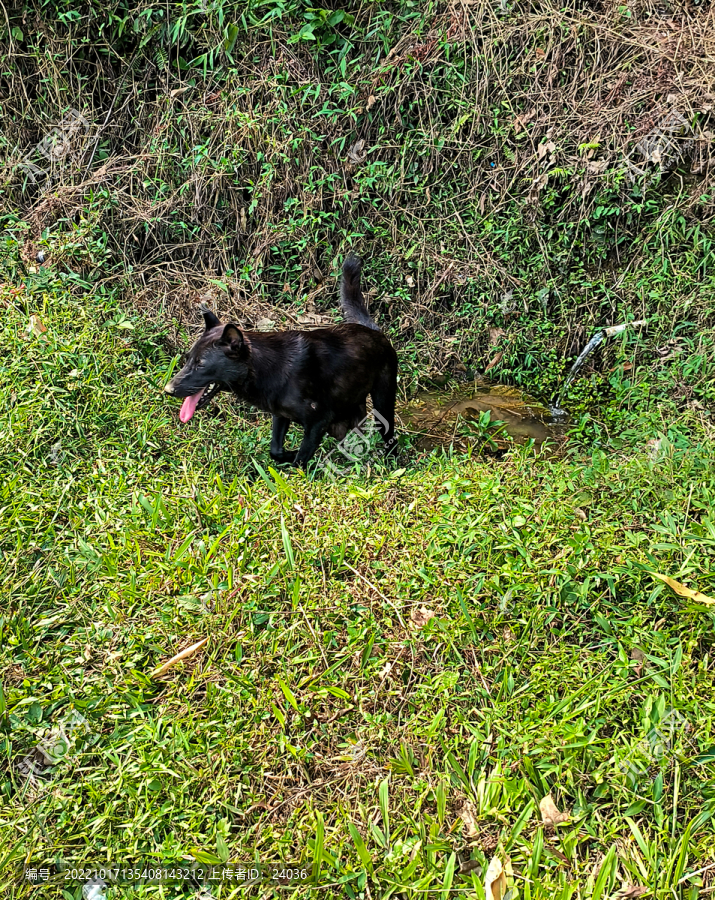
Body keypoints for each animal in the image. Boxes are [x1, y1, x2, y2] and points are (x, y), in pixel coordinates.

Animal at [166, 250, 400, 468]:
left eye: (201, 364)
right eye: (188, 359)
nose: (167, 390)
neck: (265, 368)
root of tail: (373, 330)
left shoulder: (318, 421)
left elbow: (301, 461)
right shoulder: (280, 415)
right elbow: (275, 450)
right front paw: (288, 455)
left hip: (383, 400)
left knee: (390, 436)